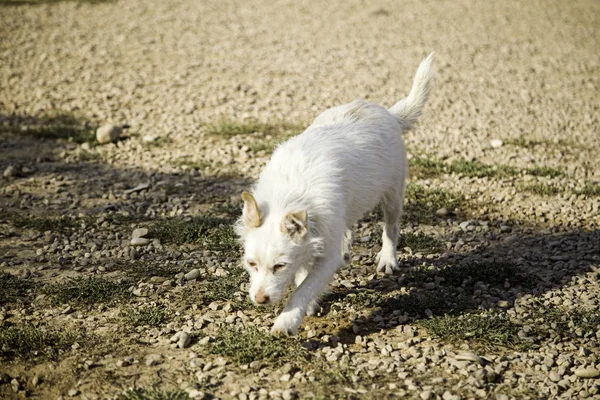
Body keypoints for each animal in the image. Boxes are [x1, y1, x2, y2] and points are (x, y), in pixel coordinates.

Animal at [236, 53, 436, 334]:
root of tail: (386, 112)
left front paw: (287, 320)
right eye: (251, 264)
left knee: (391, 227)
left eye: (279, 266)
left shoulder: (327, 258)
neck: (289, 193)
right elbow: (303, 276)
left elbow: (302, 288)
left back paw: (388, 258)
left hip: (393, 195)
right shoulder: (314, 238)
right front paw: (307, 304)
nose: (260, 300)